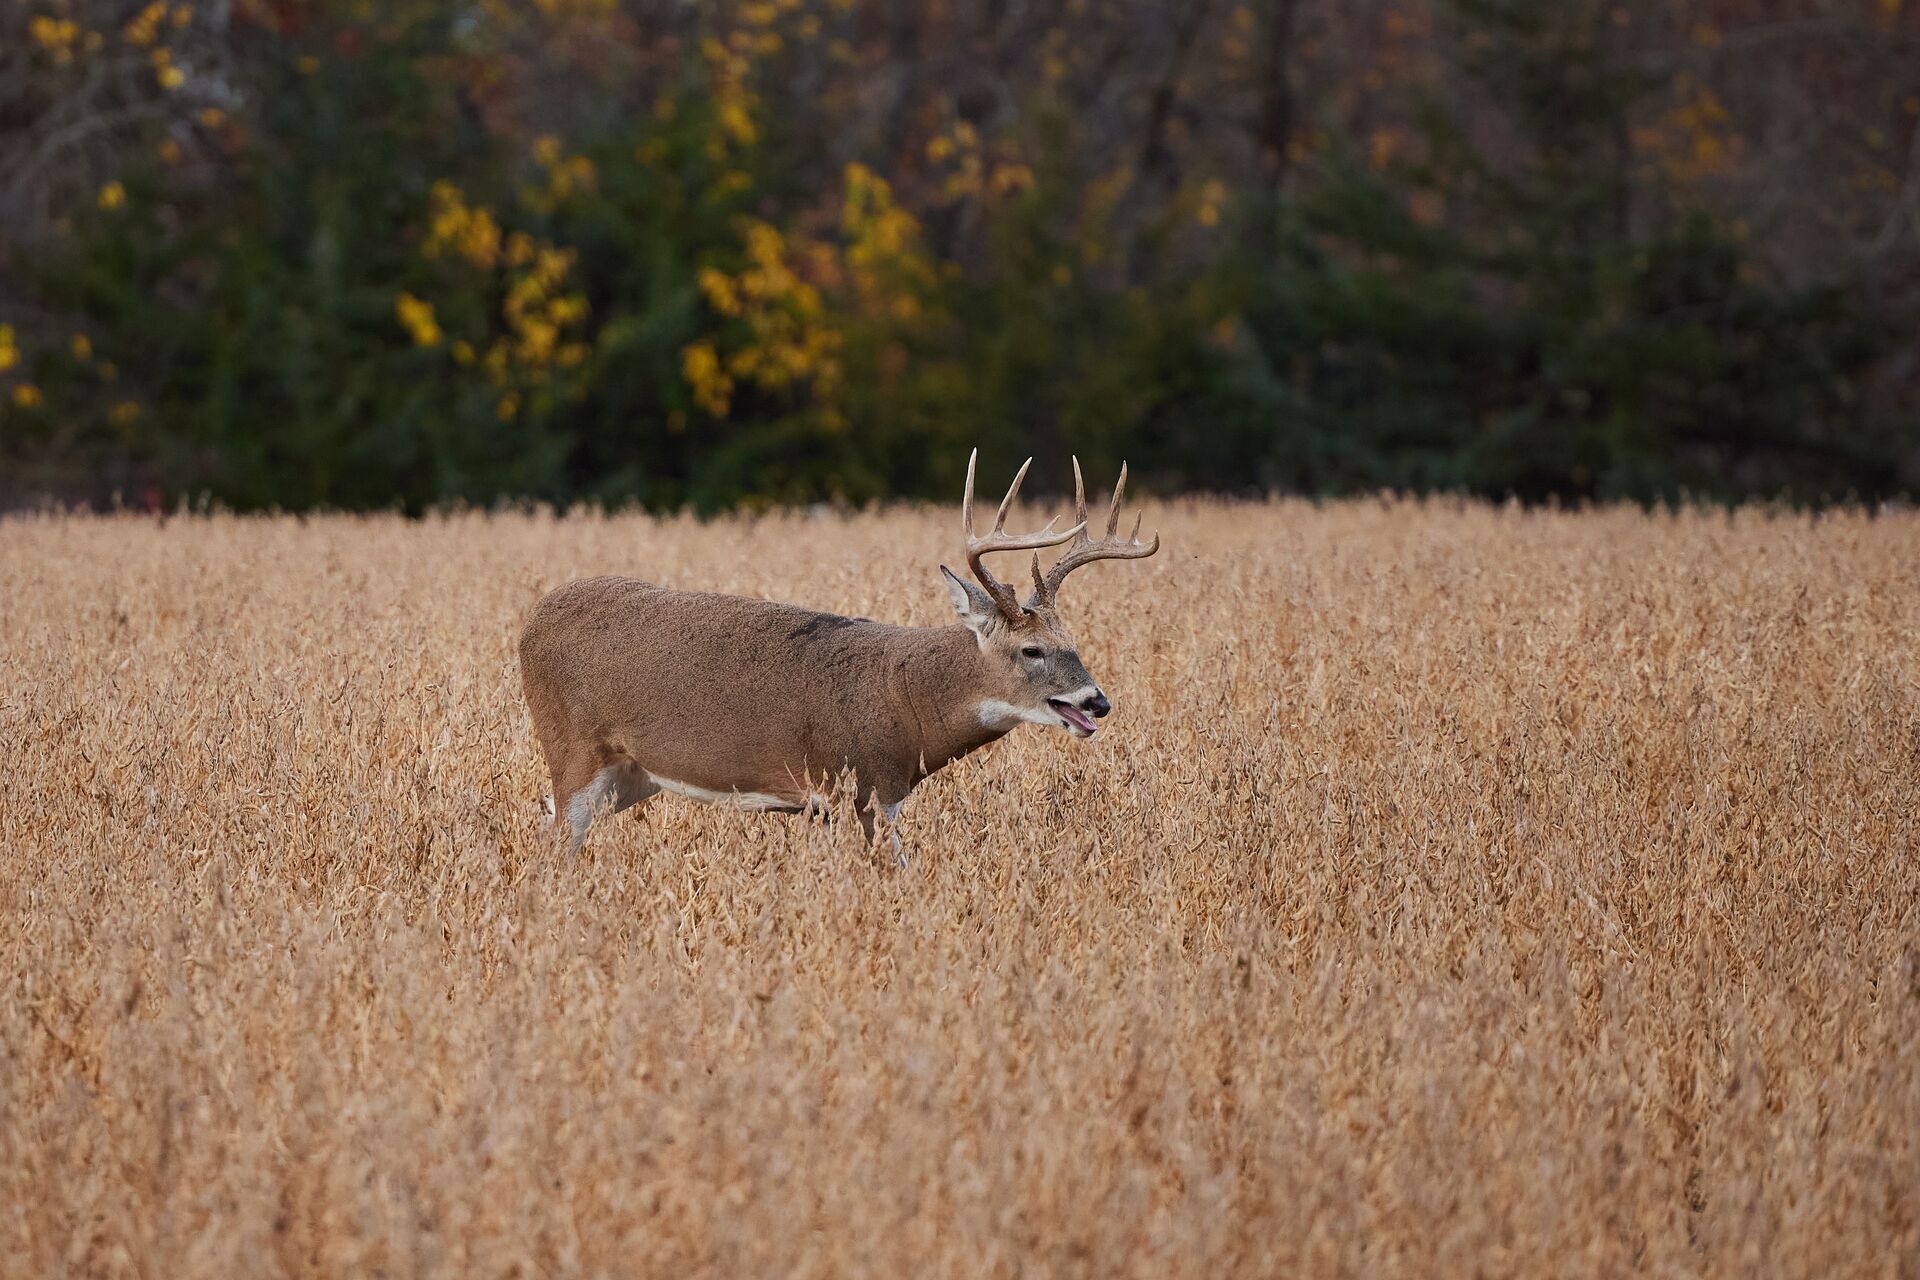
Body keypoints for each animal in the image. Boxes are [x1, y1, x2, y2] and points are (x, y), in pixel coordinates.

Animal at [517, 451, 1159, 857]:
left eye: (1074, 642)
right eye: (1032, 649)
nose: (1097, 701)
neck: (907, 698)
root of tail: (532, 619)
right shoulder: (860, 786)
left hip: (631, 775)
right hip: (572, 750)